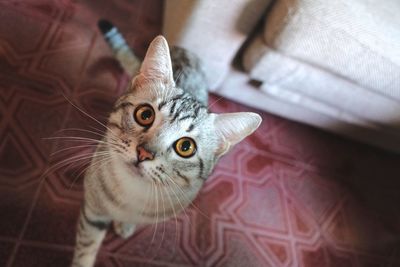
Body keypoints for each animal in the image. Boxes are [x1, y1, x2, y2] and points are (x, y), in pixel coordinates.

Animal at [70, 19, 260, 266]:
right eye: (145, 114)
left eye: (186, 147)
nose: (144, 153)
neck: (132, 193)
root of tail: (186, 49)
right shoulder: (93, 211)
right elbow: (86, 249)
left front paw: (125, 224)